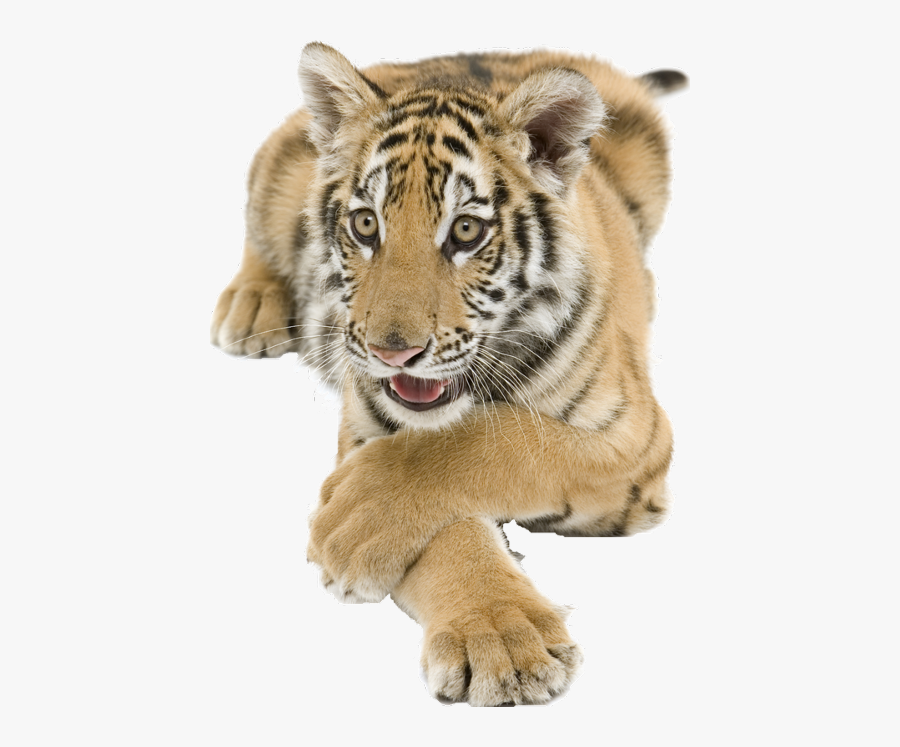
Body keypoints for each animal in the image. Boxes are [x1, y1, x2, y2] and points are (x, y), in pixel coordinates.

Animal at [211, 43, 686, 706]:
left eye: (466, 230)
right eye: (365, 225)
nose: (392, 353)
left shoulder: (637, 435)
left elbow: (506, 442)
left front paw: (355, 518)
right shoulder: (367, 426)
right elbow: (453, 532)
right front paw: (502, 641)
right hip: (276, 179)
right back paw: (251, 308)